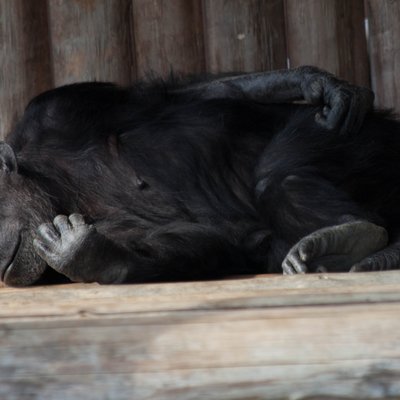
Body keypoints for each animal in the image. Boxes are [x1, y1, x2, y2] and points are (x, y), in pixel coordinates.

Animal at [0, 65, 396, 286]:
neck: (54, 186)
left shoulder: (61, 106)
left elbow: (167, 97)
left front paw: (318, 83)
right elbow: (186, 244)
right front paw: (84, 256)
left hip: (359, 138)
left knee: (280, 174)